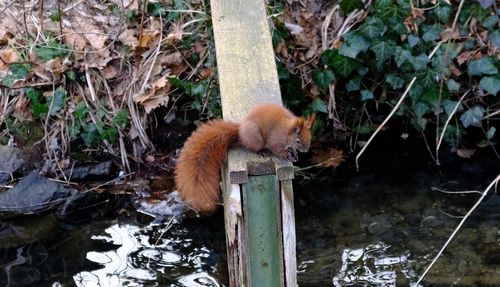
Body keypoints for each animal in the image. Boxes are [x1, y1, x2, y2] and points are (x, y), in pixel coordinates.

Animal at [176, 103, 314, 214]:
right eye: (298, 141)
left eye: (310, 137)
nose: (306, 150)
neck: (287, 130)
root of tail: (241, 131)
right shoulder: (276, 139)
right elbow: (278, 150)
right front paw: (287, 156)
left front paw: (294, 154)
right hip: (255, 136)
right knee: (254, 146)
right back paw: (263, 151)